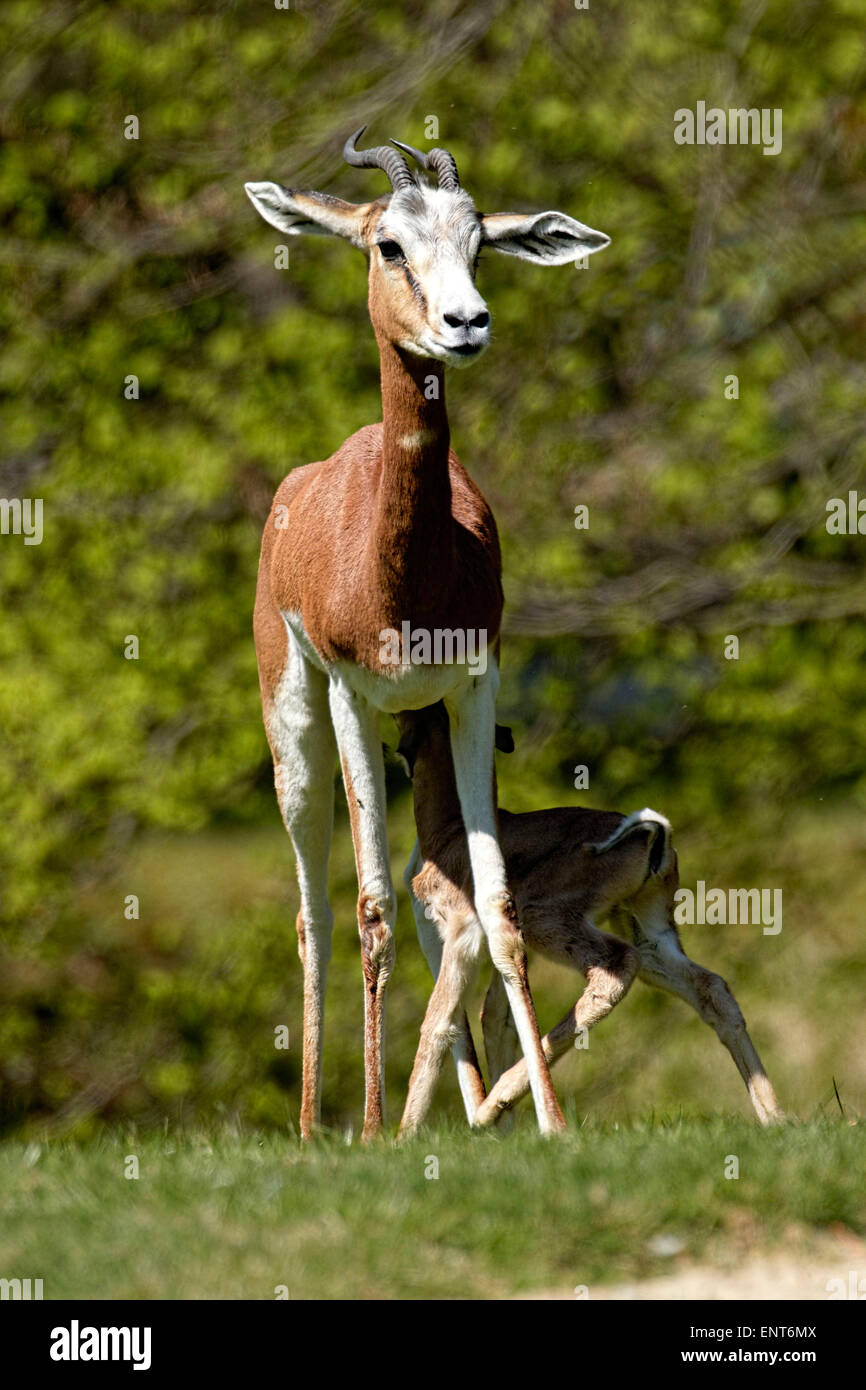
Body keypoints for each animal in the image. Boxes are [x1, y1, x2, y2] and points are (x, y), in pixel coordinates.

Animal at [400, 706, 783, 1139]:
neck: (448, 831)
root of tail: (654, 836)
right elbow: (495, 1019)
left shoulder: (460, 934)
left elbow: (438, 1022)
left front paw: (399, 1136)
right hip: (645, 933)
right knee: (711, 987)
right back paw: (775, 1117)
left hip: (549, 922)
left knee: (615, 969)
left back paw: (491, 1112)